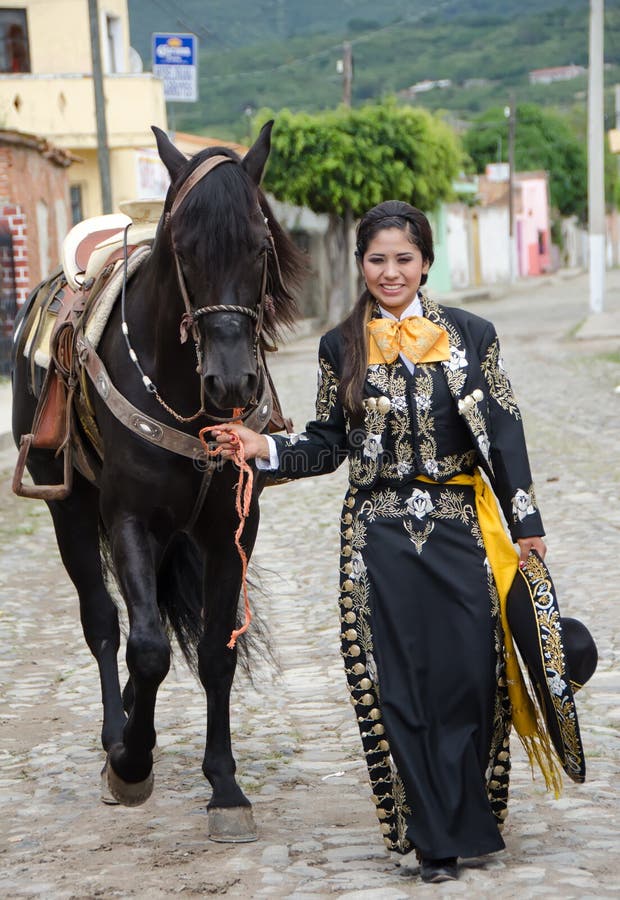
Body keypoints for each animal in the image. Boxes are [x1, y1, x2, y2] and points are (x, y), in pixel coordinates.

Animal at [10, 123, 306, 840]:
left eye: (261, 247)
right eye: (183, 249)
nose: (231, 381)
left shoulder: (231, 528)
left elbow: (217, 651)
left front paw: (225, 786)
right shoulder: (129, 521)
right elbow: (145, 647)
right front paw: (132, 763)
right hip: (68, 510)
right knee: (102, 622)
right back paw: (116, 737)